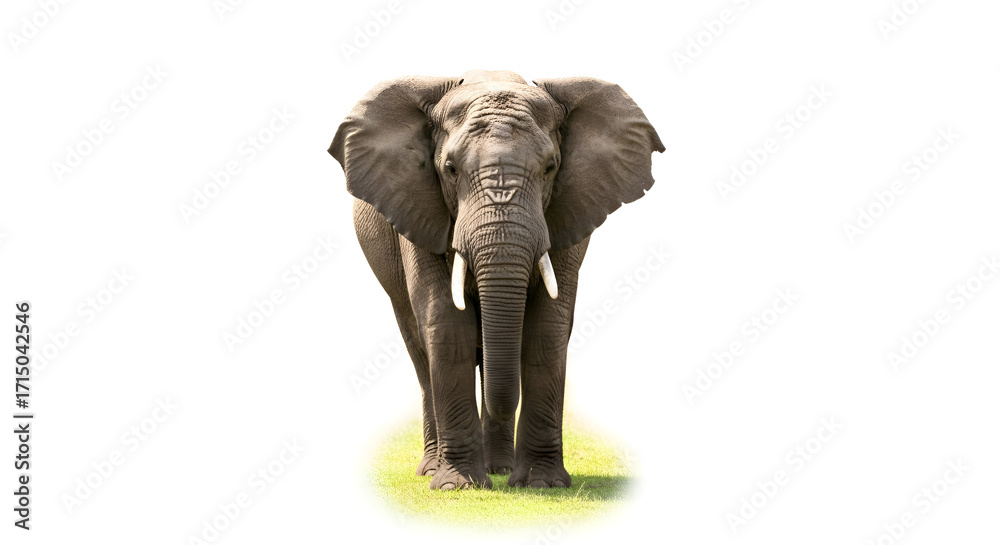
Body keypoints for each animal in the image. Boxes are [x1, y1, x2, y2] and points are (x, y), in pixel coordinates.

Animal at [330, 69, 663, 490]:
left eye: (550, 167)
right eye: (450, 169)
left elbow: (547, 328)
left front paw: (541, 484)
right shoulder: (416, 209)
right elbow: (447, 322)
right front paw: (457, 486)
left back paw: (500, 469)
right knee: (420, 348)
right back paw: (436, 469)